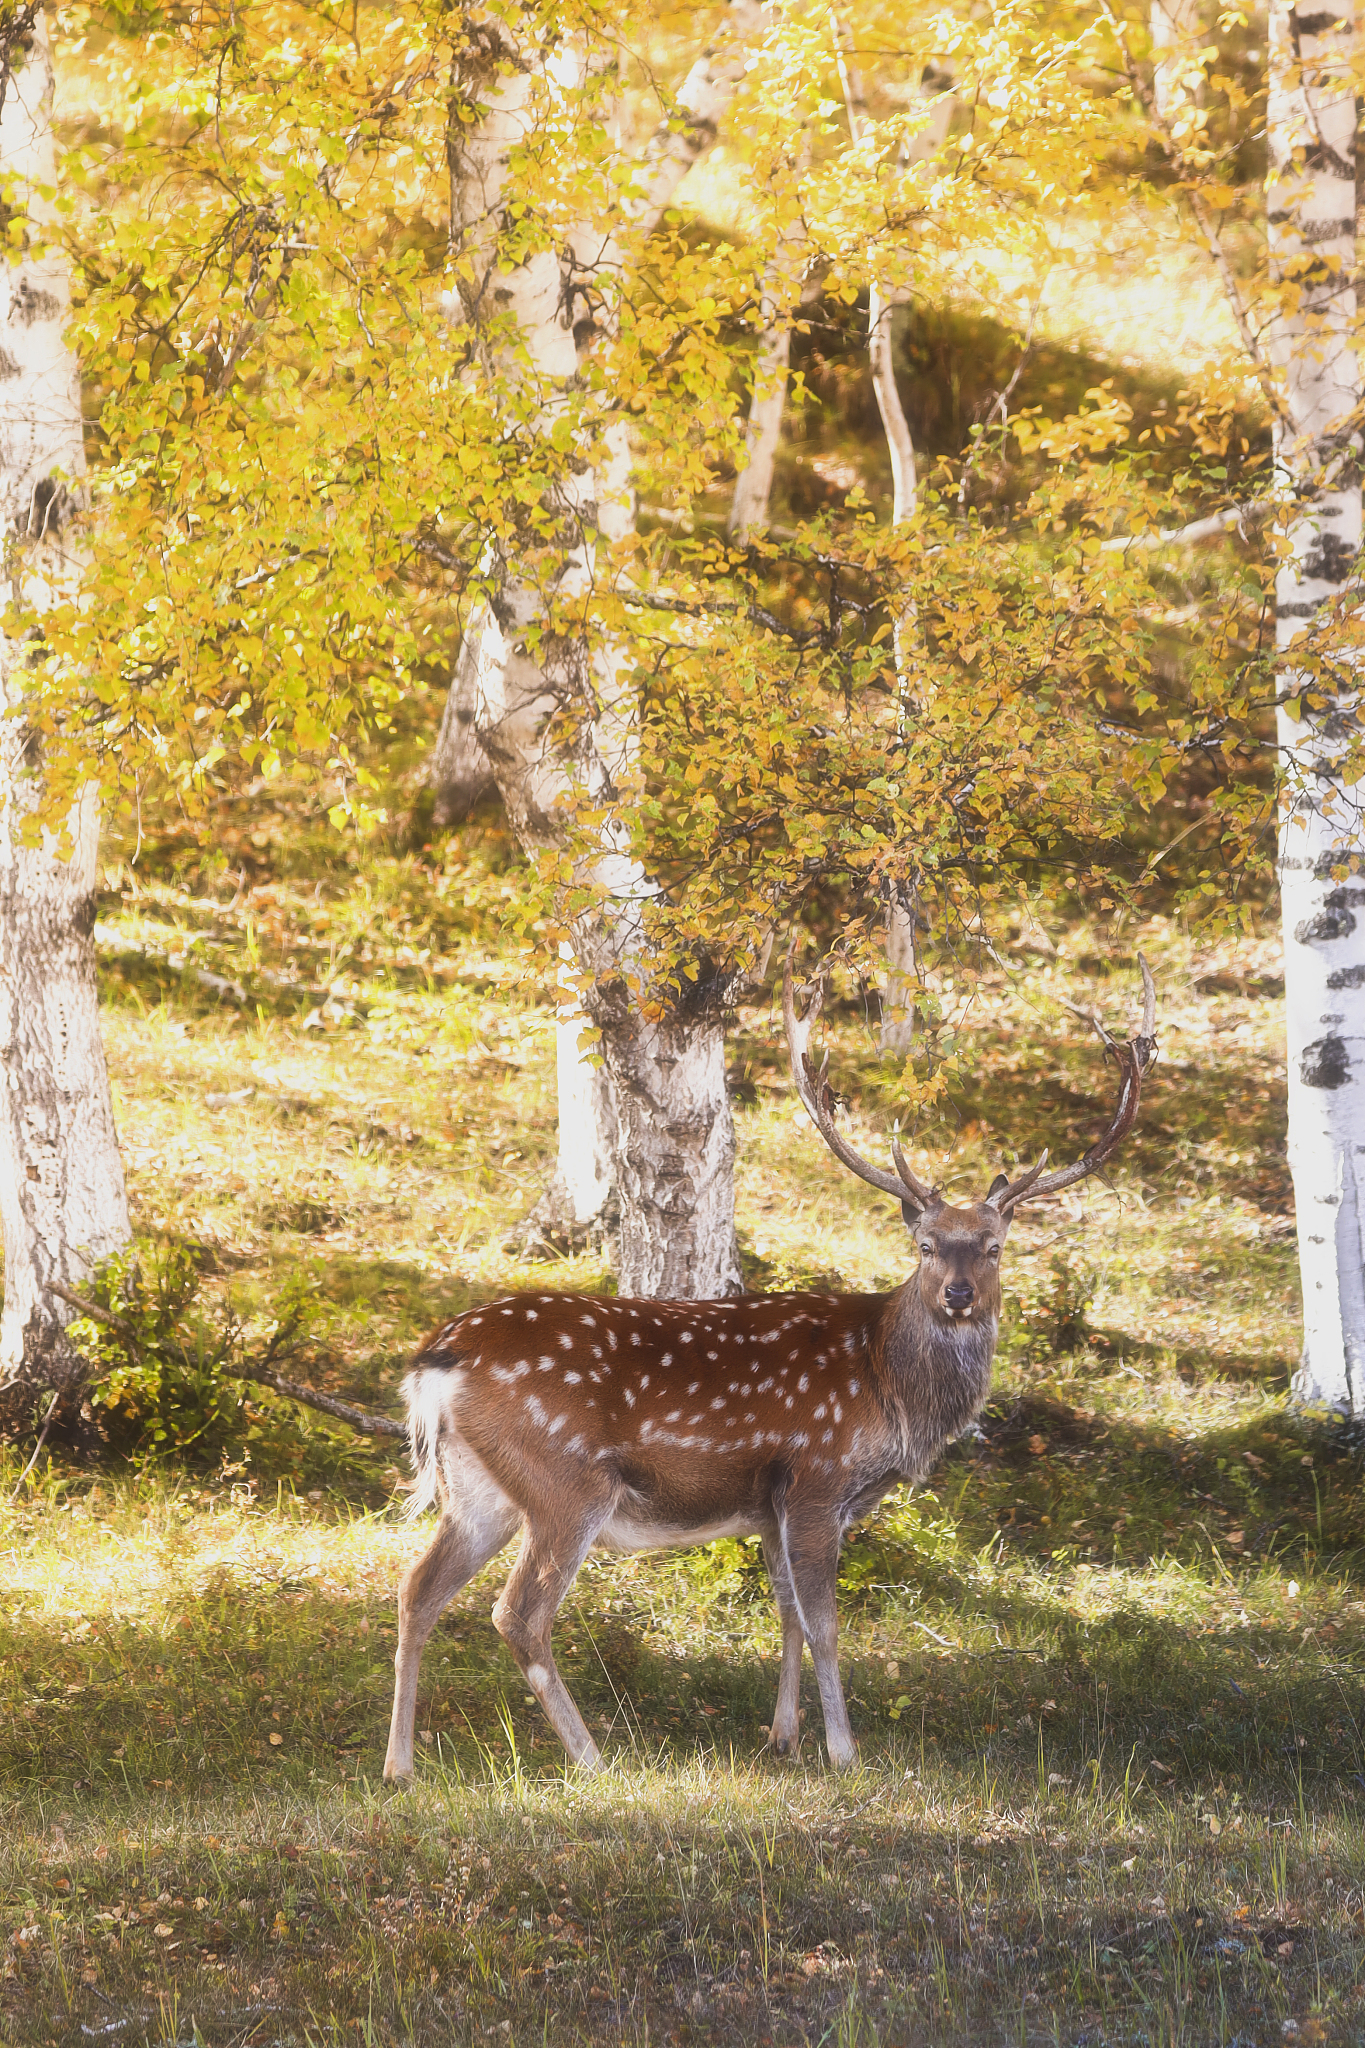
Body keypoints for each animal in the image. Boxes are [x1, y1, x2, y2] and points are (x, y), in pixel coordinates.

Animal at [383, 954, 1156, 1780]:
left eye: (994, 1248)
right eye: (924, 1245)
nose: (957, 1294)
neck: (886, 1390)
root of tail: (436, 1360)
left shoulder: (772, 1504)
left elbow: (784, 1611)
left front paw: (782, 1733)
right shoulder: (815, 1477)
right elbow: (824, 1623)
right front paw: (843, 1750)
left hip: (479, 1487)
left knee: (417, 1588)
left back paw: (400, 1763)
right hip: (565, 1479)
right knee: (518, 1611)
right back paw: (591, 1755)